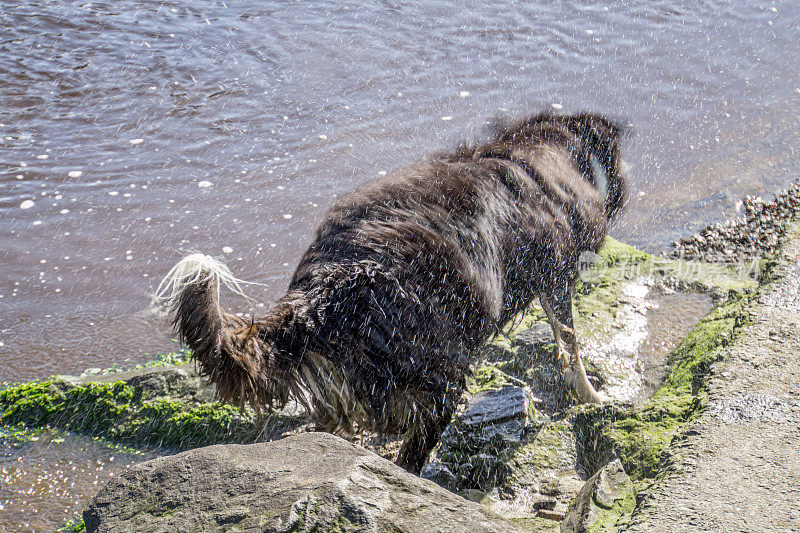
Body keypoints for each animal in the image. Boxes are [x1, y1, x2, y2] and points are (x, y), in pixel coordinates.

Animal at [158, 111, 624, 470]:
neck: (539, 151)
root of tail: (334, 284)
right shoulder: (558, 274)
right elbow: (572, 340)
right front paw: (591, 393)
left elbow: (564, 338)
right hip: (441, 372)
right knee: (412, 447)